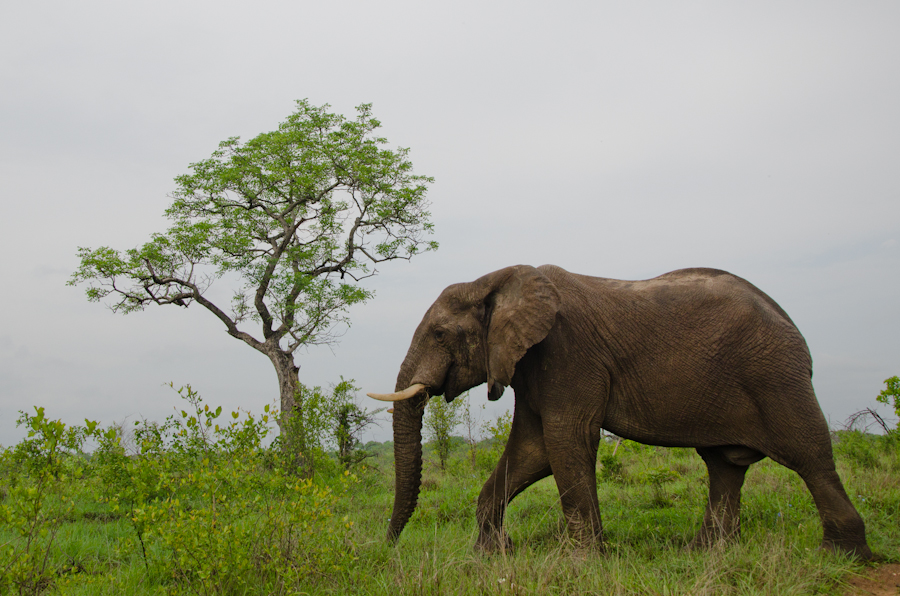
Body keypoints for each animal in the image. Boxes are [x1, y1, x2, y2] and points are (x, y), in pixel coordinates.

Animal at [367, 264, 872, 559]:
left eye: (438, 334)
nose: (387, 549)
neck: (499, 279)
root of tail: (792, 327)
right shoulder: (530, 364)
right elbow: (532, 451)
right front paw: (492, 555)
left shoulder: (568, 352)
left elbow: (566, 439)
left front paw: (583, 561)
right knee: (725, 466)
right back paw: (703, 554)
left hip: (776, 378)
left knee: (810, 456)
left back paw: (842, 556)